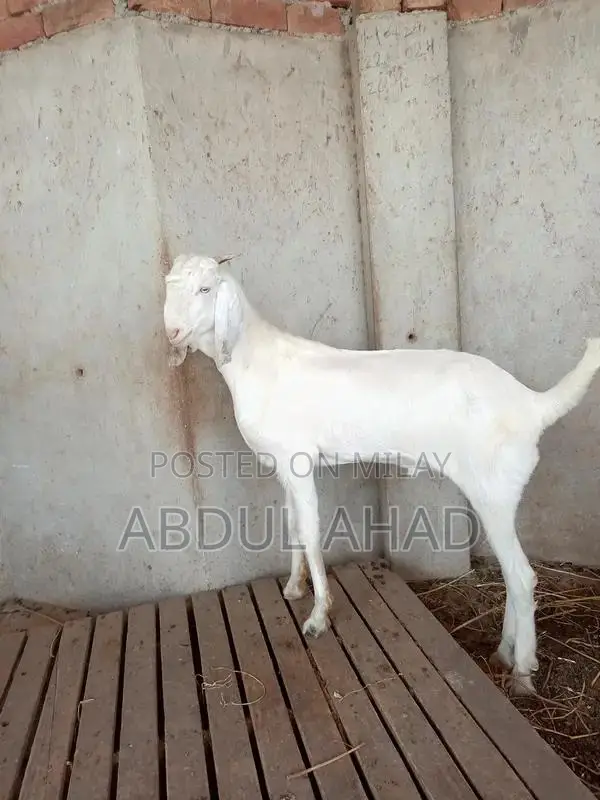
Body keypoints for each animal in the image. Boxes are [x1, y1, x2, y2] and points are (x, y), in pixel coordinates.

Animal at [163, 253, 600, 695]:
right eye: (170, 285)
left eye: (206, 289)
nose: (172, 331)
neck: (256, 361)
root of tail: (533, 405)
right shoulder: (286, 465)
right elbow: (292, 526)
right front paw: (294, 587)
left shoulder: (299, 462)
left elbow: (311, 531)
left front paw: (318, 617)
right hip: (495, 494)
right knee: (512, 576)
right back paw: (504, 653)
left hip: (495, 489)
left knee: (523, 577)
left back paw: (523, 672)